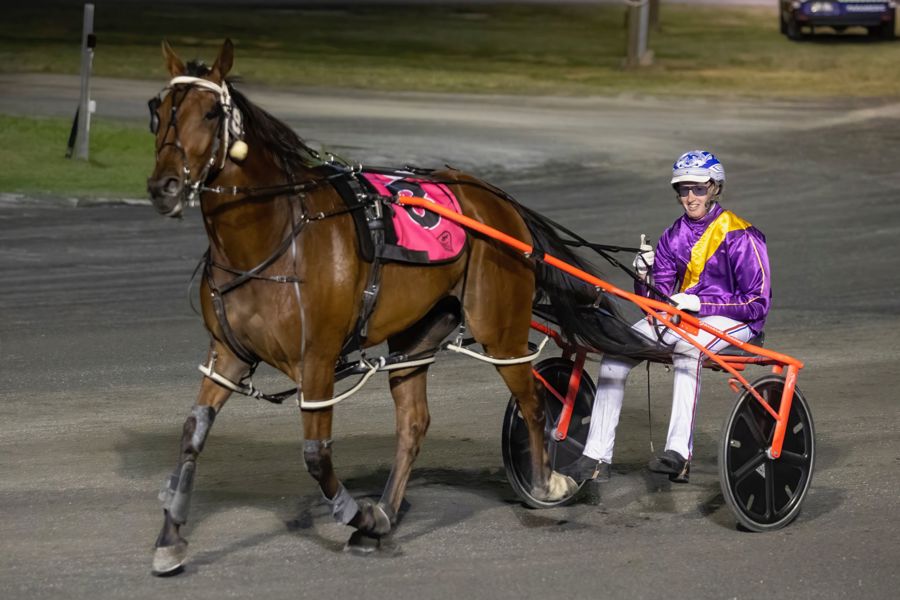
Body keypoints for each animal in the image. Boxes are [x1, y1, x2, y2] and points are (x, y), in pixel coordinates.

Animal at [146, 39, 652, 575]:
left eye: (210, 113)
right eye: (158, 110)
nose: (164, 187)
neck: (276, 237)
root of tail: (498, 201)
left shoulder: (317, 358)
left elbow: (316, 456)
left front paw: (359, 514)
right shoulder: (227, 354)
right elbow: (192, 433)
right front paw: (170, 539)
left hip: (500, 326)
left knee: (535, 402)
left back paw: (548, 480)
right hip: (418, 333)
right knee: (413, 423)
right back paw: (388, 509)